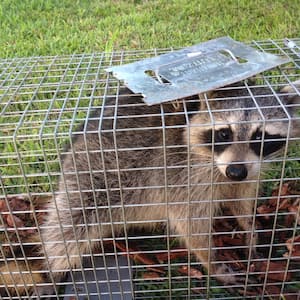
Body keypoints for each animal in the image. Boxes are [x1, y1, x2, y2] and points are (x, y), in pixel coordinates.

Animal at [38, 79, 298, 292]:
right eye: (225, 134)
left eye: (260, 136)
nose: (235, 172)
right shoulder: (182, 173)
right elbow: (191, 225)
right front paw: (213, 263)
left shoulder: (248, 171)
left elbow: (241, 199)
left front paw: (249, 229)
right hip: (94, 172)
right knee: (70, 226)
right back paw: (52, 272)